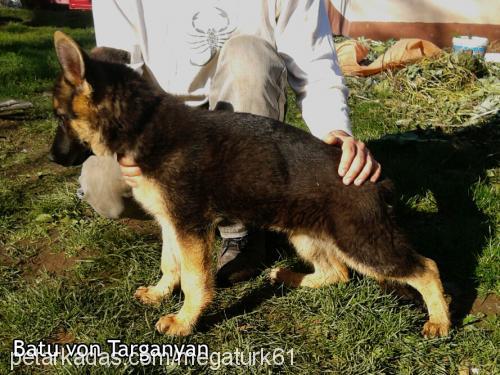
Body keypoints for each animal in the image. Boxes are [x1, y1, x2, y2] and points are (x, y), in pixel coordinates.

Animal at [51, 32, 454, 338]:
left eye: (60, 116)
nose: (53, 158)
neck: (143, 122)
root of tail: (379, 180)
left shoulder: (191, 227)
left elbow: (195, 280)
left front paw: (185, 321)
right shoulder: (172, 223)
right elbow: (171, 265)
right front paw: (161, 293)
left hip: (362, 243)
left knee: (426, 267)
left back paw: (440, 321)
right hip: (306, 235)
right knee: (337, 274)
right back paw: (289, 276)